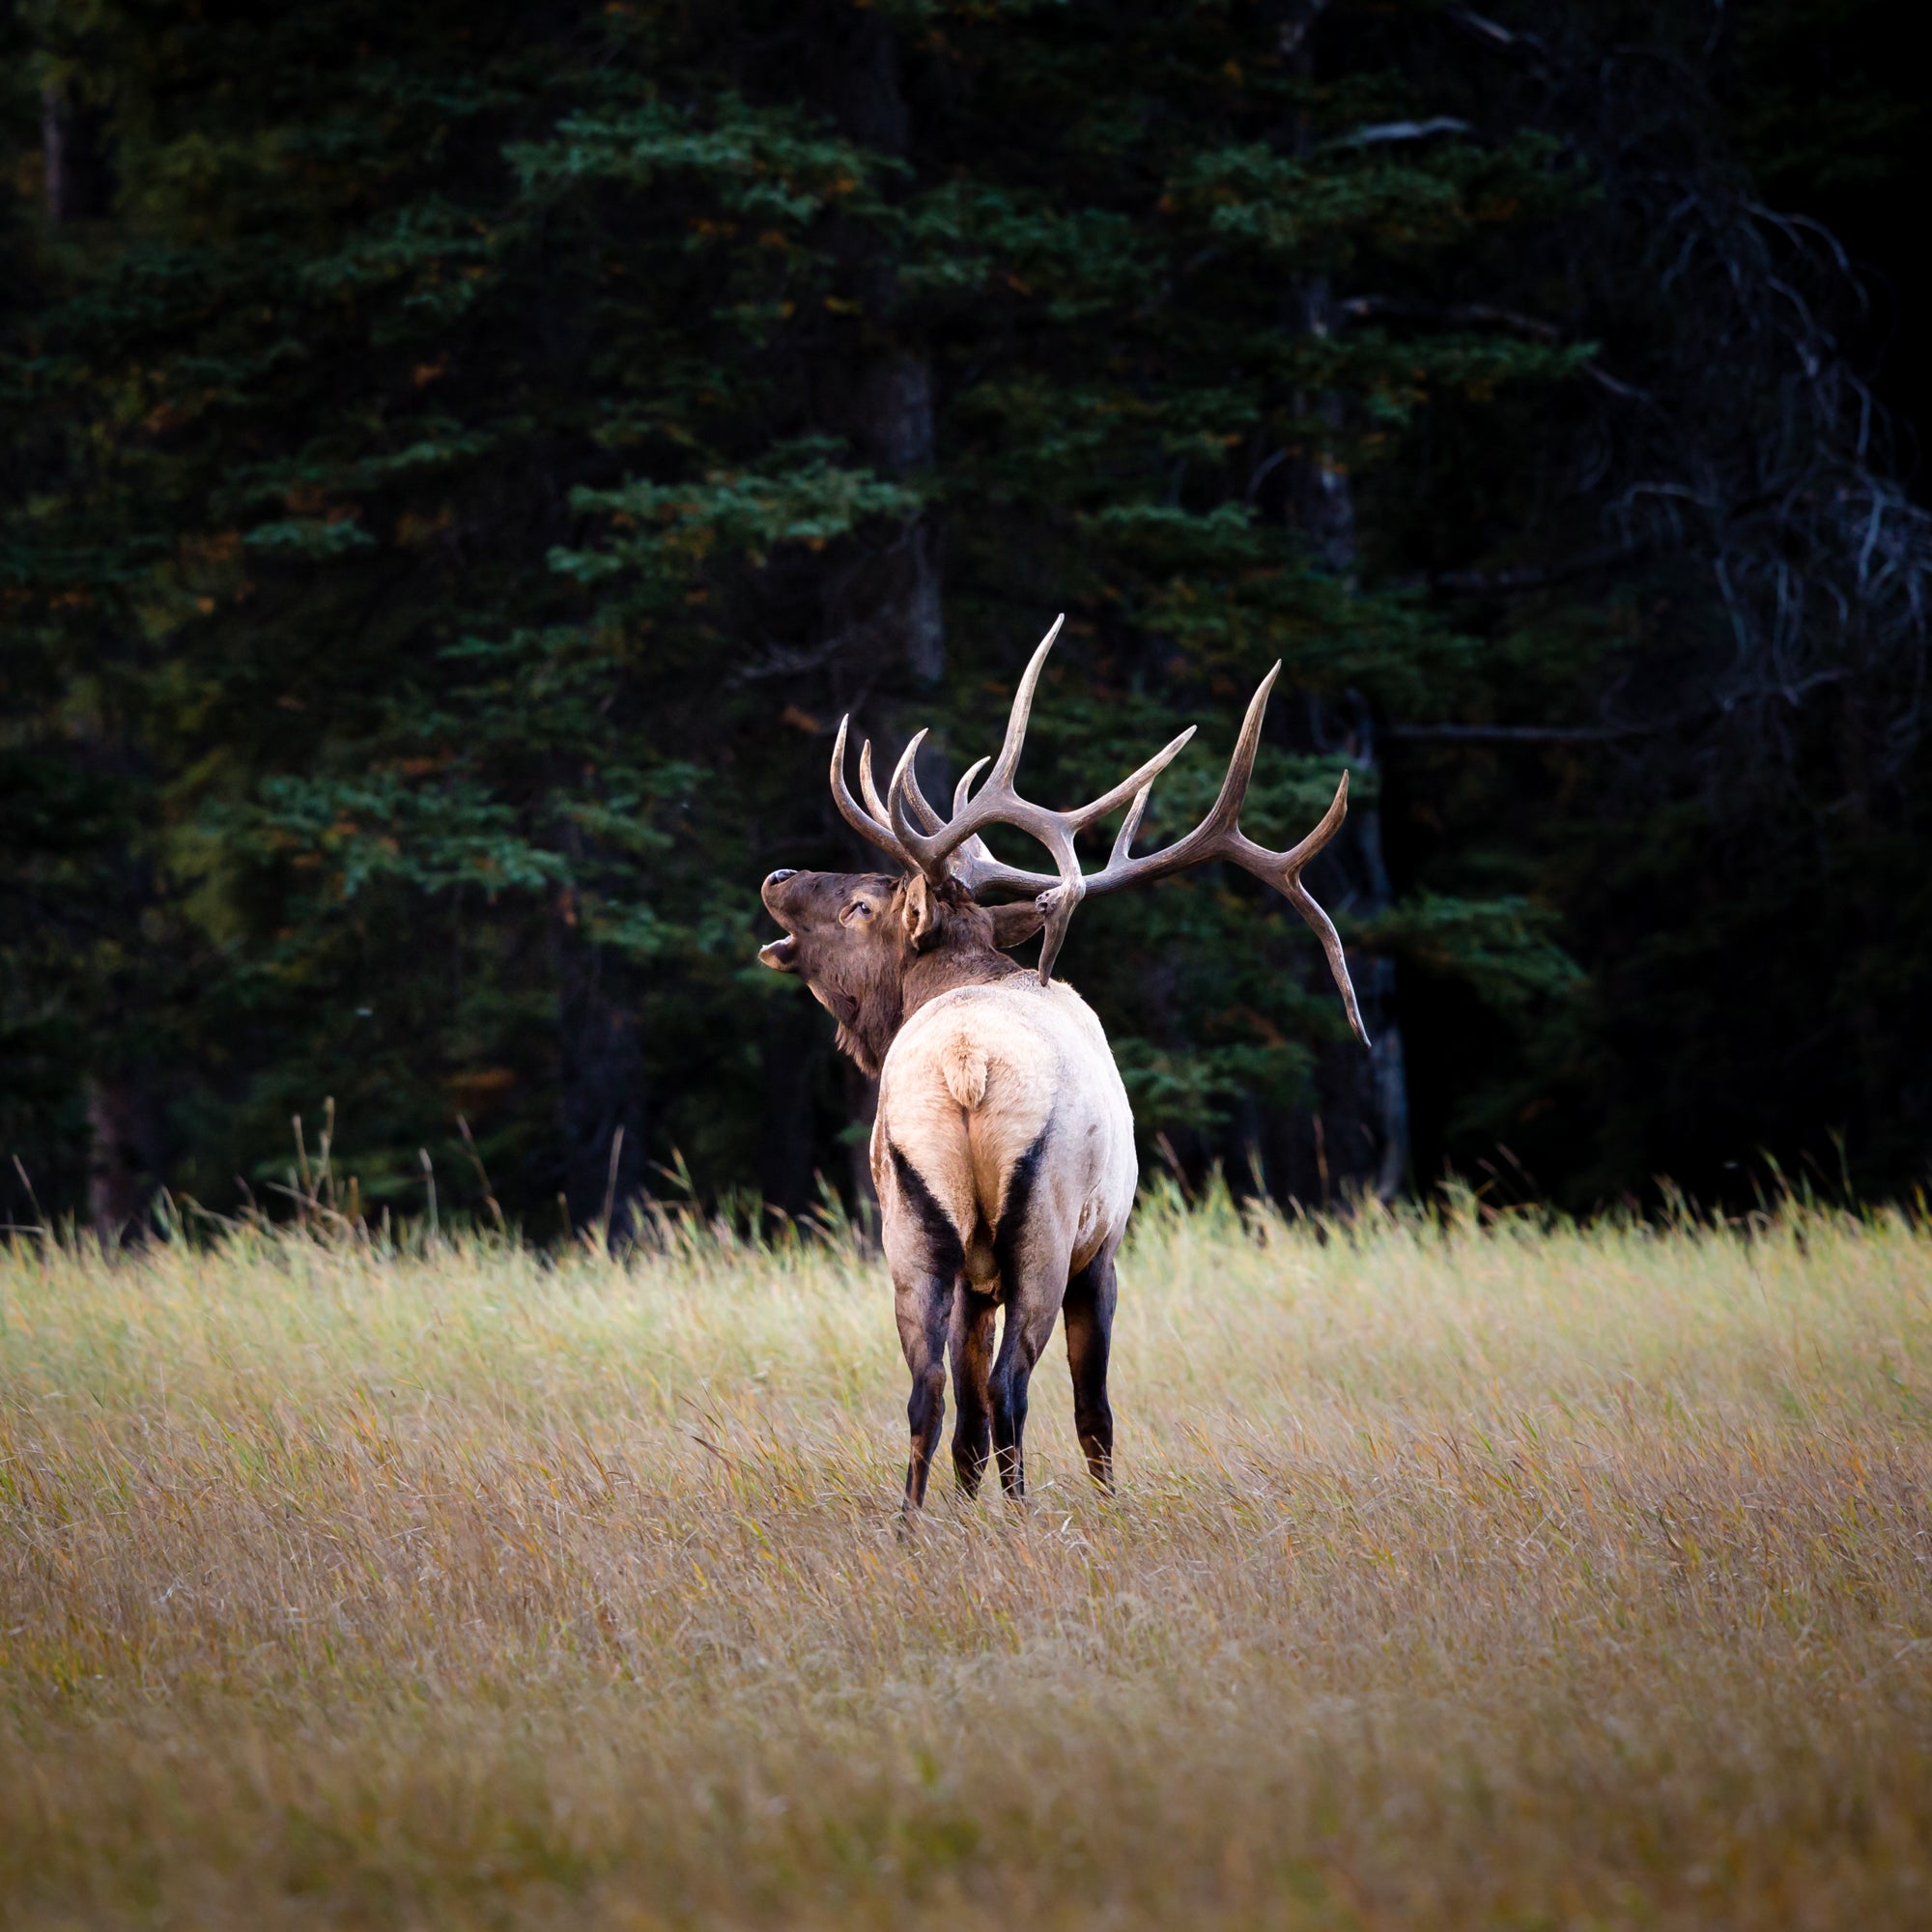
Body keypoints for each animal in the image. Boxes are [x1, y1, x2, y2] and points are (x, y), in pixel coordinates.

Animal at [758, 616, 1367, 1514]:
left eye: (862, 904)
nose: (779, 875)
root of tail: (967, 1067)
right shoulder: (1105, 1243)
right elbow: (1094, 1408)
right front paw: (1108, 1505)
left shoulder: (1000, 1267)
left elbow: (970, 1414)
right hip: (1042, 1229)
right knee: (1013, 1387)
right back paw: (1022, 1519)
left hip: (916, 1221)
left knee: (934, 1390)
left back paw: (914, 1524)